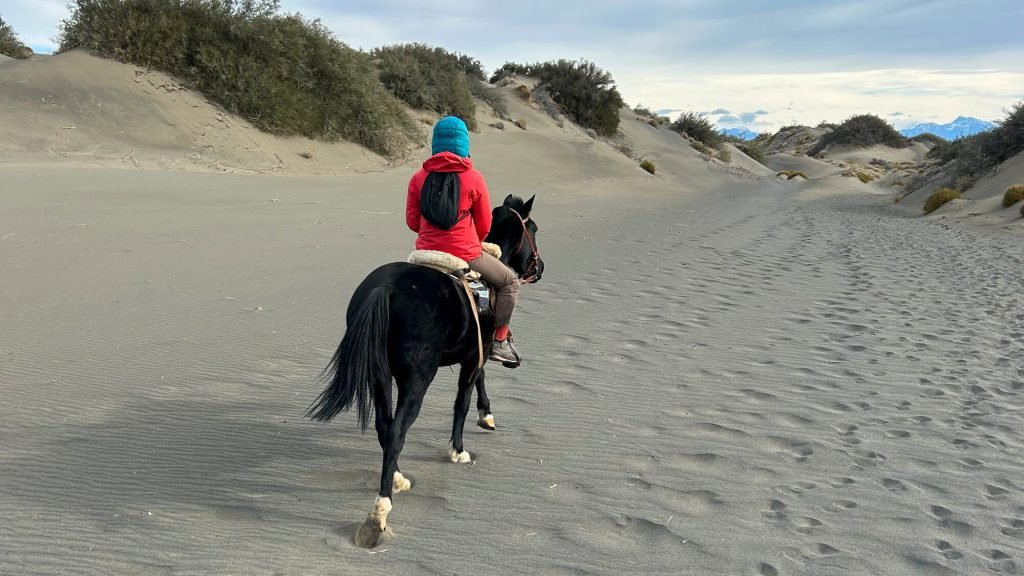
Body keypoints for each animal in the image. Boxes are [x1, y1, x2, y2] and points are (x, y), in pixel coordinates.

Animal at [305, 193, 540, 545]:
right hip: (416, 379)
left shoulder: (474, 352)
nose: (539, 268)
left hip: (379, 376)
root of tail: (387, 288)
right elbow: (462, 401)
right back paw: (380, 511)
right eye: (534, 229)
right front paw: (459, 449)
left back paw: (398, 478)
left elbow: (479, 381)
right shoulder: (476, 353)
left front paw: (486, 416)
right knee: (396, 431)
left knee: (385, 427)